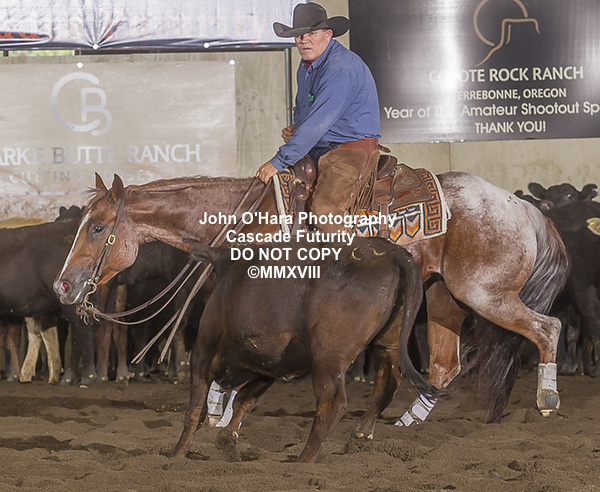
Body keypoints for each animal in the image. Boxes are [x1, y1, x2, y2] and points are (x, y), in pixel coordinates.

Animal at [53, 171, 569, 425]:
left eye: (97, 227)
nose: (63, 286)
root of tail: (523, 207)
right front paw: (220, 410)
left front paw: (221, 411)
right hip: (445, 297)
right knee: (445, 366)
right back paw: (403, 425)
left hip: (484, 293)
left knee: (548, 328)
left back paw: (547, 397)